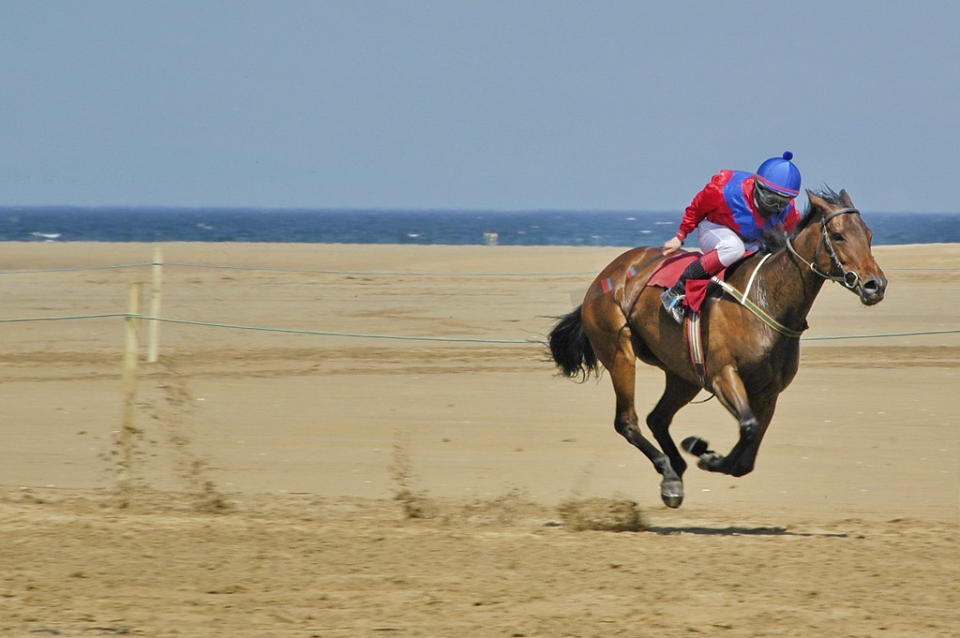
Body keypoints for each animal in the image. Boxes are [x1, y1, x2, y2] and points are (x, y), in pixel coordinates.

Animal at [552, 189, 888, 510]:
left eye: (869, 234)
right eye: (838, 235)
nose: (875, 285)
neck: (767, 300)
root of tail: (607, 275)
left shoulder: (768, 392)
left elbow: (745, 457)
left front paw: (703, 451)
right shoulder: (722, 375)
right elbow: (748, 427)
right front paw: (704, 452)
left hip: (683, 374)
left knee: (657, 418)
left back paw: (674, 468)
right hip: (620, 352)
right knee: (627, 421)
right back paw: (669, 473)